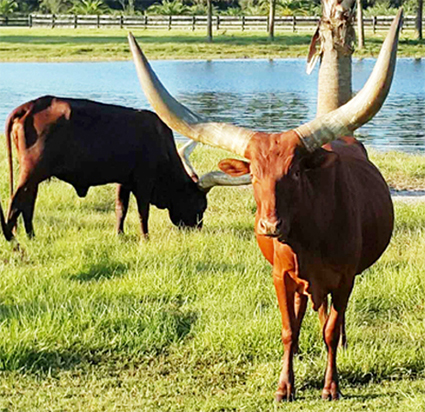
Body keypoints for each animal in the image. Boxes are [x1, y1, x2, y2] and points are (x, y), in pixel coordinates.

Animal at [1, 97, 250, 241]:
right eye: (201, 205)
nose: (196, 228)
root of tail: (31, 106)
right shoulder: (144, 181)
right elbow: (142, 211)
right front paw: (145, 237)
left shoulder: (124, 180)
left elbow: (121, 208)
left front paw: (119, 235)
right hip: (31, 173)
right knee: (16, 201)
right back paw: (11, 237)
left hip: (34, 176)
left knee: (28, 204)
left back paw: (31, 235)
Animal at [127, 9, 402, 400]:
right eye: (254, 174)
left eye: (296, 172)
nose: (270, 226)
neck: (309, 238)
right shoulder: (280, 276)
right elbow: (288, 329)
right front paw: (285, 385)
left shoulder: (345, 278)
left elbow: (332, 330)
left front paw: (331, 386)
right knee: (304, 312)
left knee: (331, 319)